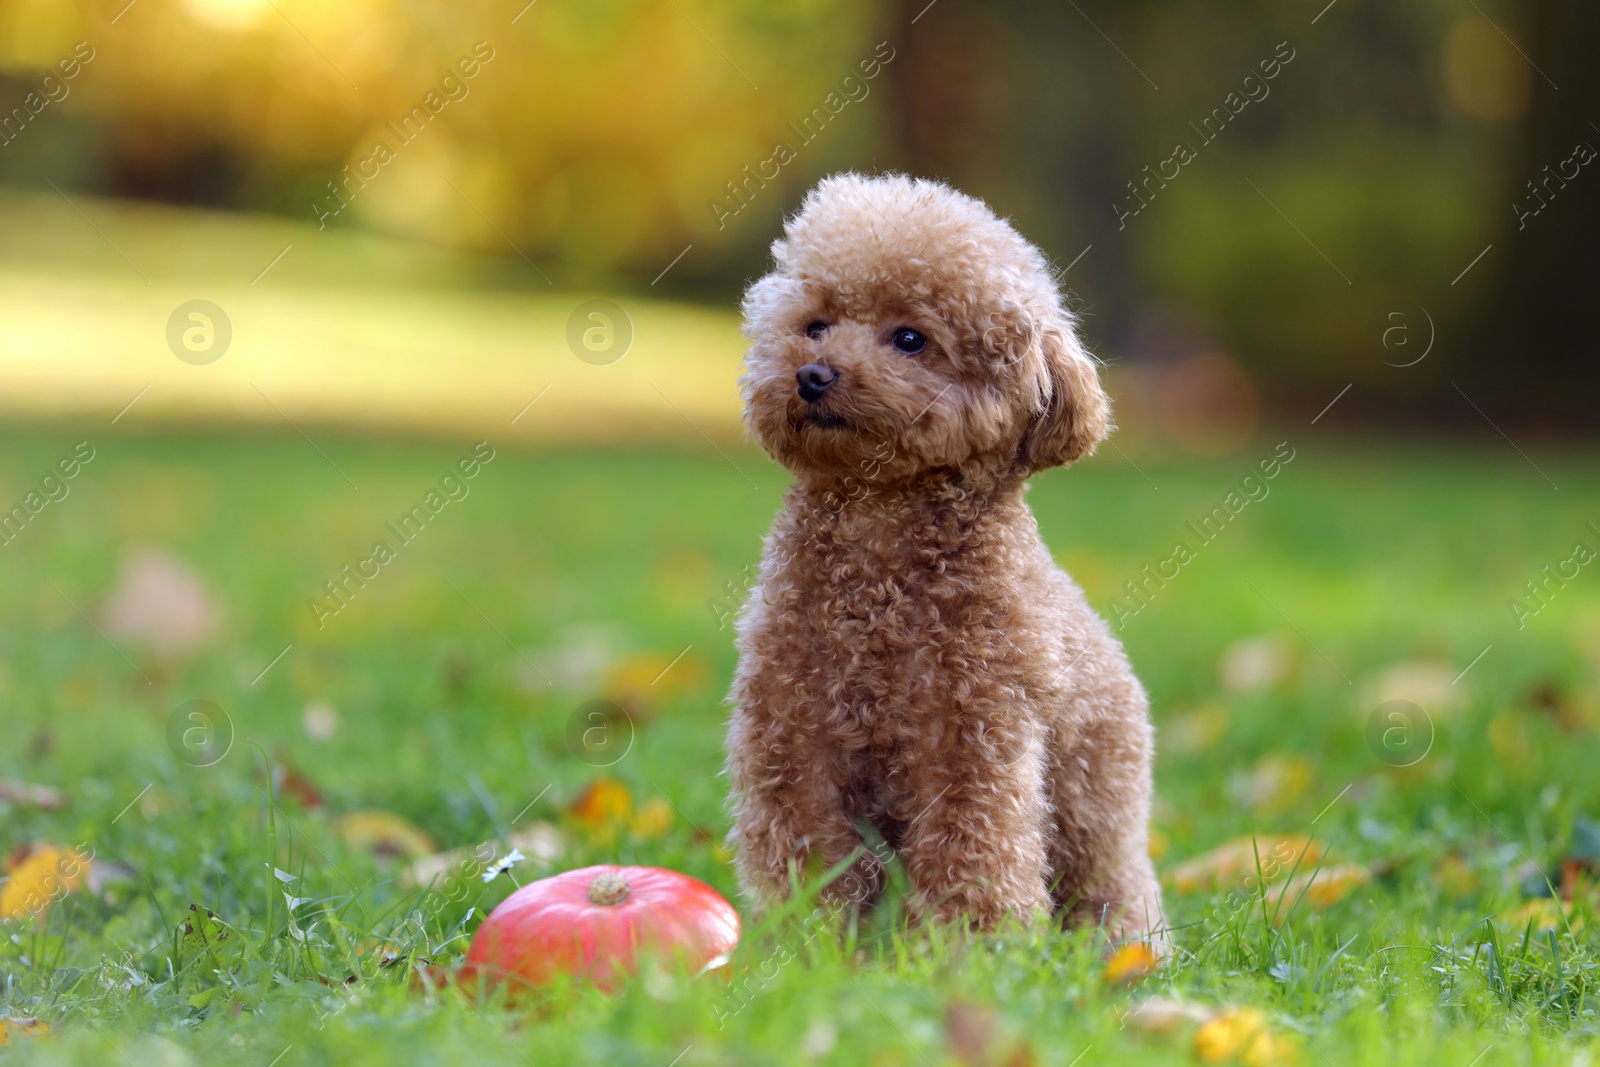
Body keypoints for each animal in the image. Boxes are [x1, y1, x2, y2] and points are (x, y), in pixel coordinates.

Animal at [726, 171, 1164, 940]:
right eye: (816, 324)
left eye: (910, 339)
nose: (813, 374)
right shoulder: (793, 731)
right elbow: (807, 851)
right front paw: (811, 943)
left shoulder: (970, 736)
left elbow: (974, 846)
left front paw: (976, 945)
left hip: (1096, 805)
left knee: (1114, 883)